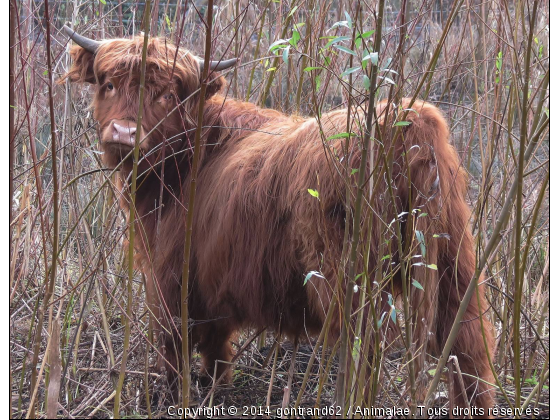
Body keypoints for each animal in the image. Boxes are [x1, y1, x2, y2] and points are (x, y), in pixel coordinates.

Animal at [63, 27, 496, 414]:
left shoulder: (170, 272)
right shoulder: (214, 278)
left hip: (348, 279)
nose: (124, 132)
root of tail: (407, 118)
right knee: (468, 347)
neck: (186, 158)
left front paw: (173, 396)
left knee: (368, 347)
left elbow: (173, 340)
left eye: (167, 94)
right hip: (455, 266)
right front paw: (218, 385)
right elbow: (216, 343)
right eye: (108, 85)